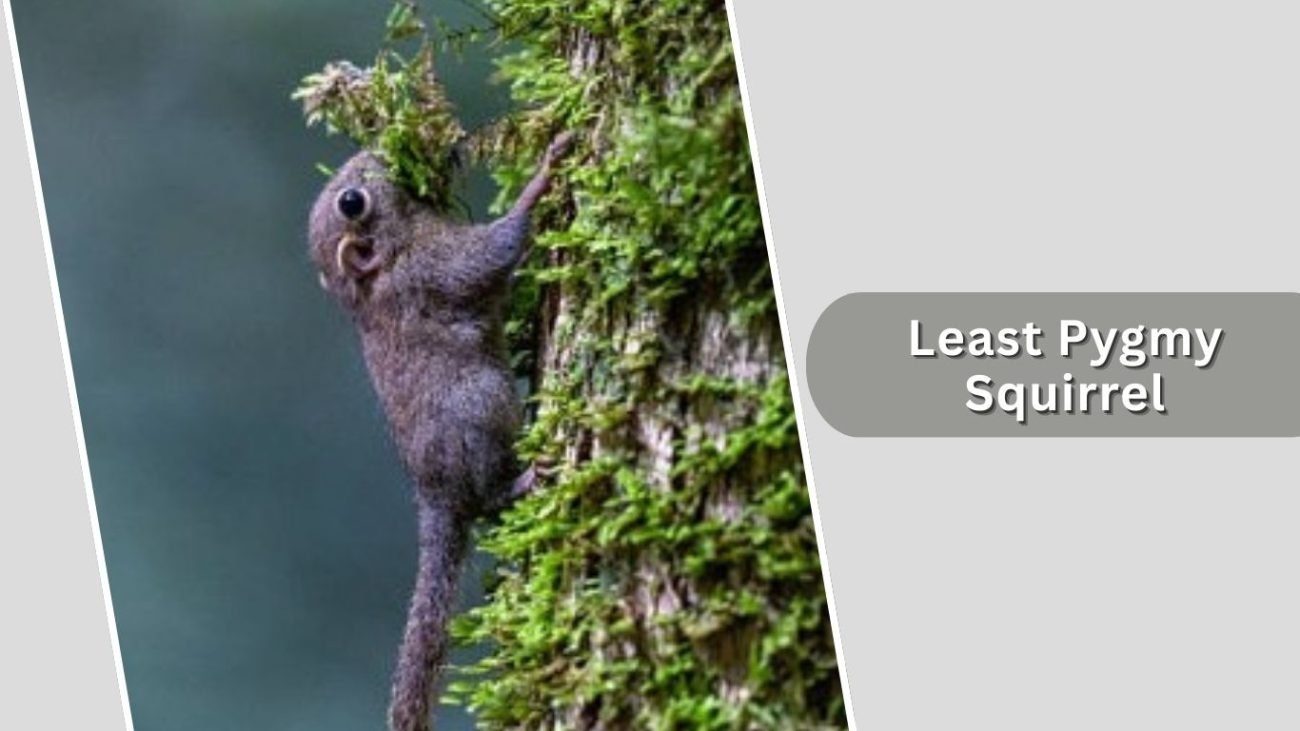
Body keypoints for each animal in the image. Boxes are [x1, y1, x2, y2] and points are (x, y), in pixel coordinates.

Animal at [306, 132, 573, 731]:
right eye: (352, 203)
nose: (375, 152)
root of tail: (436, 498)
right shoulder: (434, 267)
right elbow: (493, 252)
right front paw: (543, 176)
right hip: (485, 406)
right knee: (490, 500)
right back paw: (525, 479)